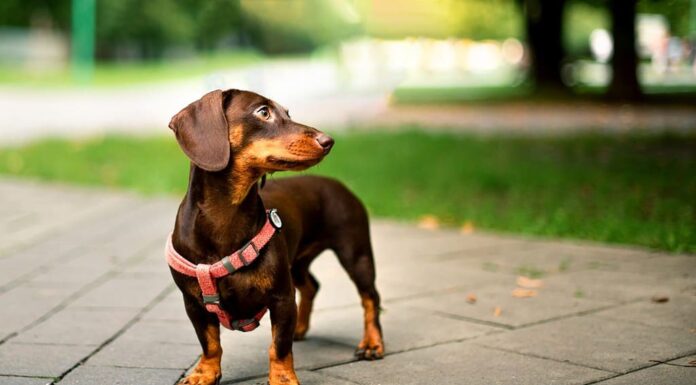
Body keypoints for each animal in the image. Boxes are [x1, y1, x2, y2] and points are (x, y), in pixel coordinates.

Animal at [169, 89, 386, 384]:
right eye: (263, 112)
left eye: (288, 113)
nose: (328, 141)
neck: (225, 217)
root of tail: (339, 185)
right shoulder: (194, 304)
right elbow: (210, 343)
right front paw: (204, 373)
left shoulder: (282, 298)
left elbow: (279, 346)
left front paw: (283, 378)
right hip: (297, 264)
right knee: (312, 286)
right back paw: (301, 328)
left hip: (356, 254)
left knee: (370, 298)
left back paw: (372, 343)